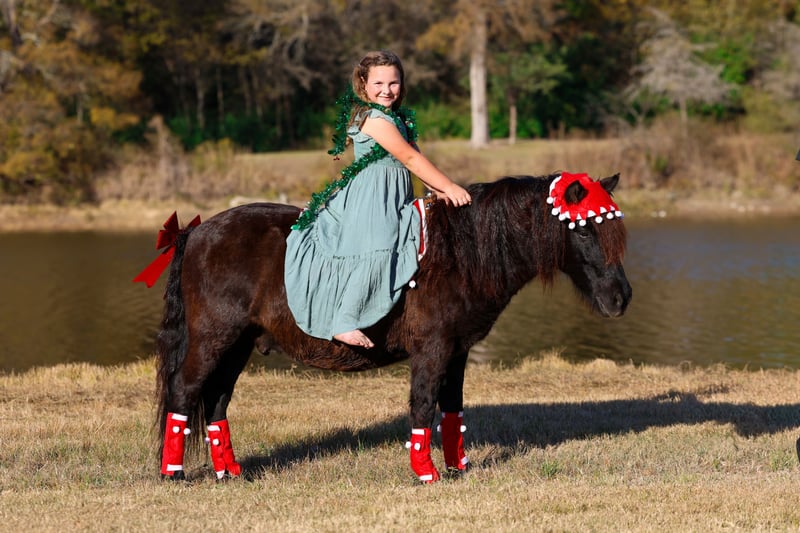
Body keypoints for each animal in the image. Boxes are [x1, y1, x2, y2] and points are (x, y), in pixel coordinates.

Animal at [151, 172, 632, 483]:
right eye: (584, 231)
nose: (621, 298)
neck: (460, 254)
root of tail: (193, 234)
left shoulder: (457, 350)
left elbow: (452, 409)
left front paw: (457, 468)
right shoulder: (432, 349)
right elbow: (422, 406)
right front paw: (426, 474)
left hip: (237, 345)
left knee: (216, 402)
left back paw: (230, 472)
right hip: (213, 339)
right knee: (183, 392)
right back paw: (173, 473)